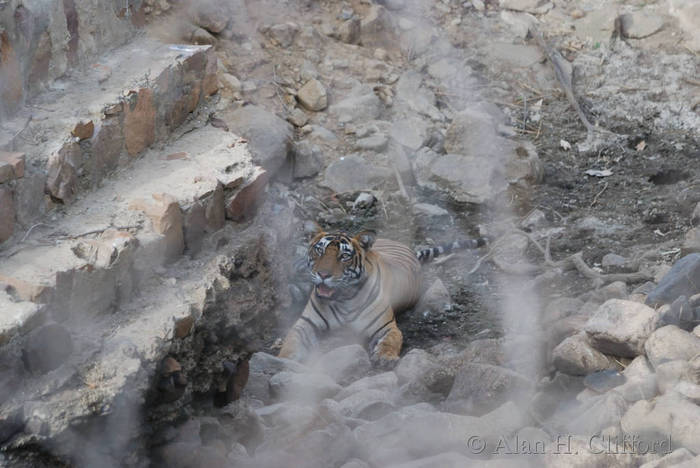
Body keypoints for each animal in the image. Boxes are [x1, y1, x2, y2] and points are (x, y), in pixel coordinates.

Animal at [278, 229, 488, 366]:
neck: (343, 299)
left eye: (344, 256)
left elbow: (391, 341)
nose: (323, 274)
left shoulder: (387, 327)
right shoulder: (305, 323)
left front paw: (385, 357)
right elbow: (291, 341)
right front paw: (284, 358)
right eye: (319, 250)